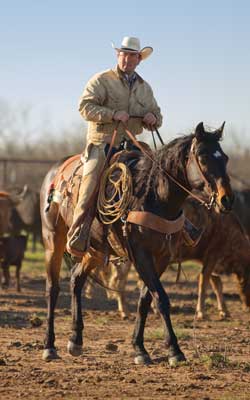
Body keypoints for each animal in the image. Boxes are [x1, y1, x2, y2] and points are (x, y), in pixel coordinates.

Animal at [40, 121, 233, 366]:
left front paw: (140, 348)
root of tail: (54, 171)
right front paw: (175, 350)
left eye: (224, 157)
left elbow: (145, 300)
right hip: (52, 240)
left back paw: (75, 339)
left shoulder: (162, 257)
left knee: (76, 278)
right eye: (203, 156)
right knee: (52, 288)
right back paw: (49, 345)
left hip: (94, 250)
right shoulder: (140, 255)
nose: (227, 200)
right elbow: (161, 298)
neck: (153, 197)